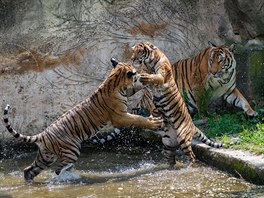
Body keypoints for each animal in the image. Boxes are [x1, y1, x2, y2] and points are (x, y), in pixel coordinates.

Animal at [2, 58, 163, 180]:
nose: (139, 71)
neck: (114, 80)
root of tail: (43, 134)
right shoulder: (120, 116)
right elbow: (138, 118)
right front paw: (155, 122)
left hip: (46, 156)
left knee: (29, 170)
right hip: (71, 150)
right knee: (59, 169)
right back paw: (69, 176)